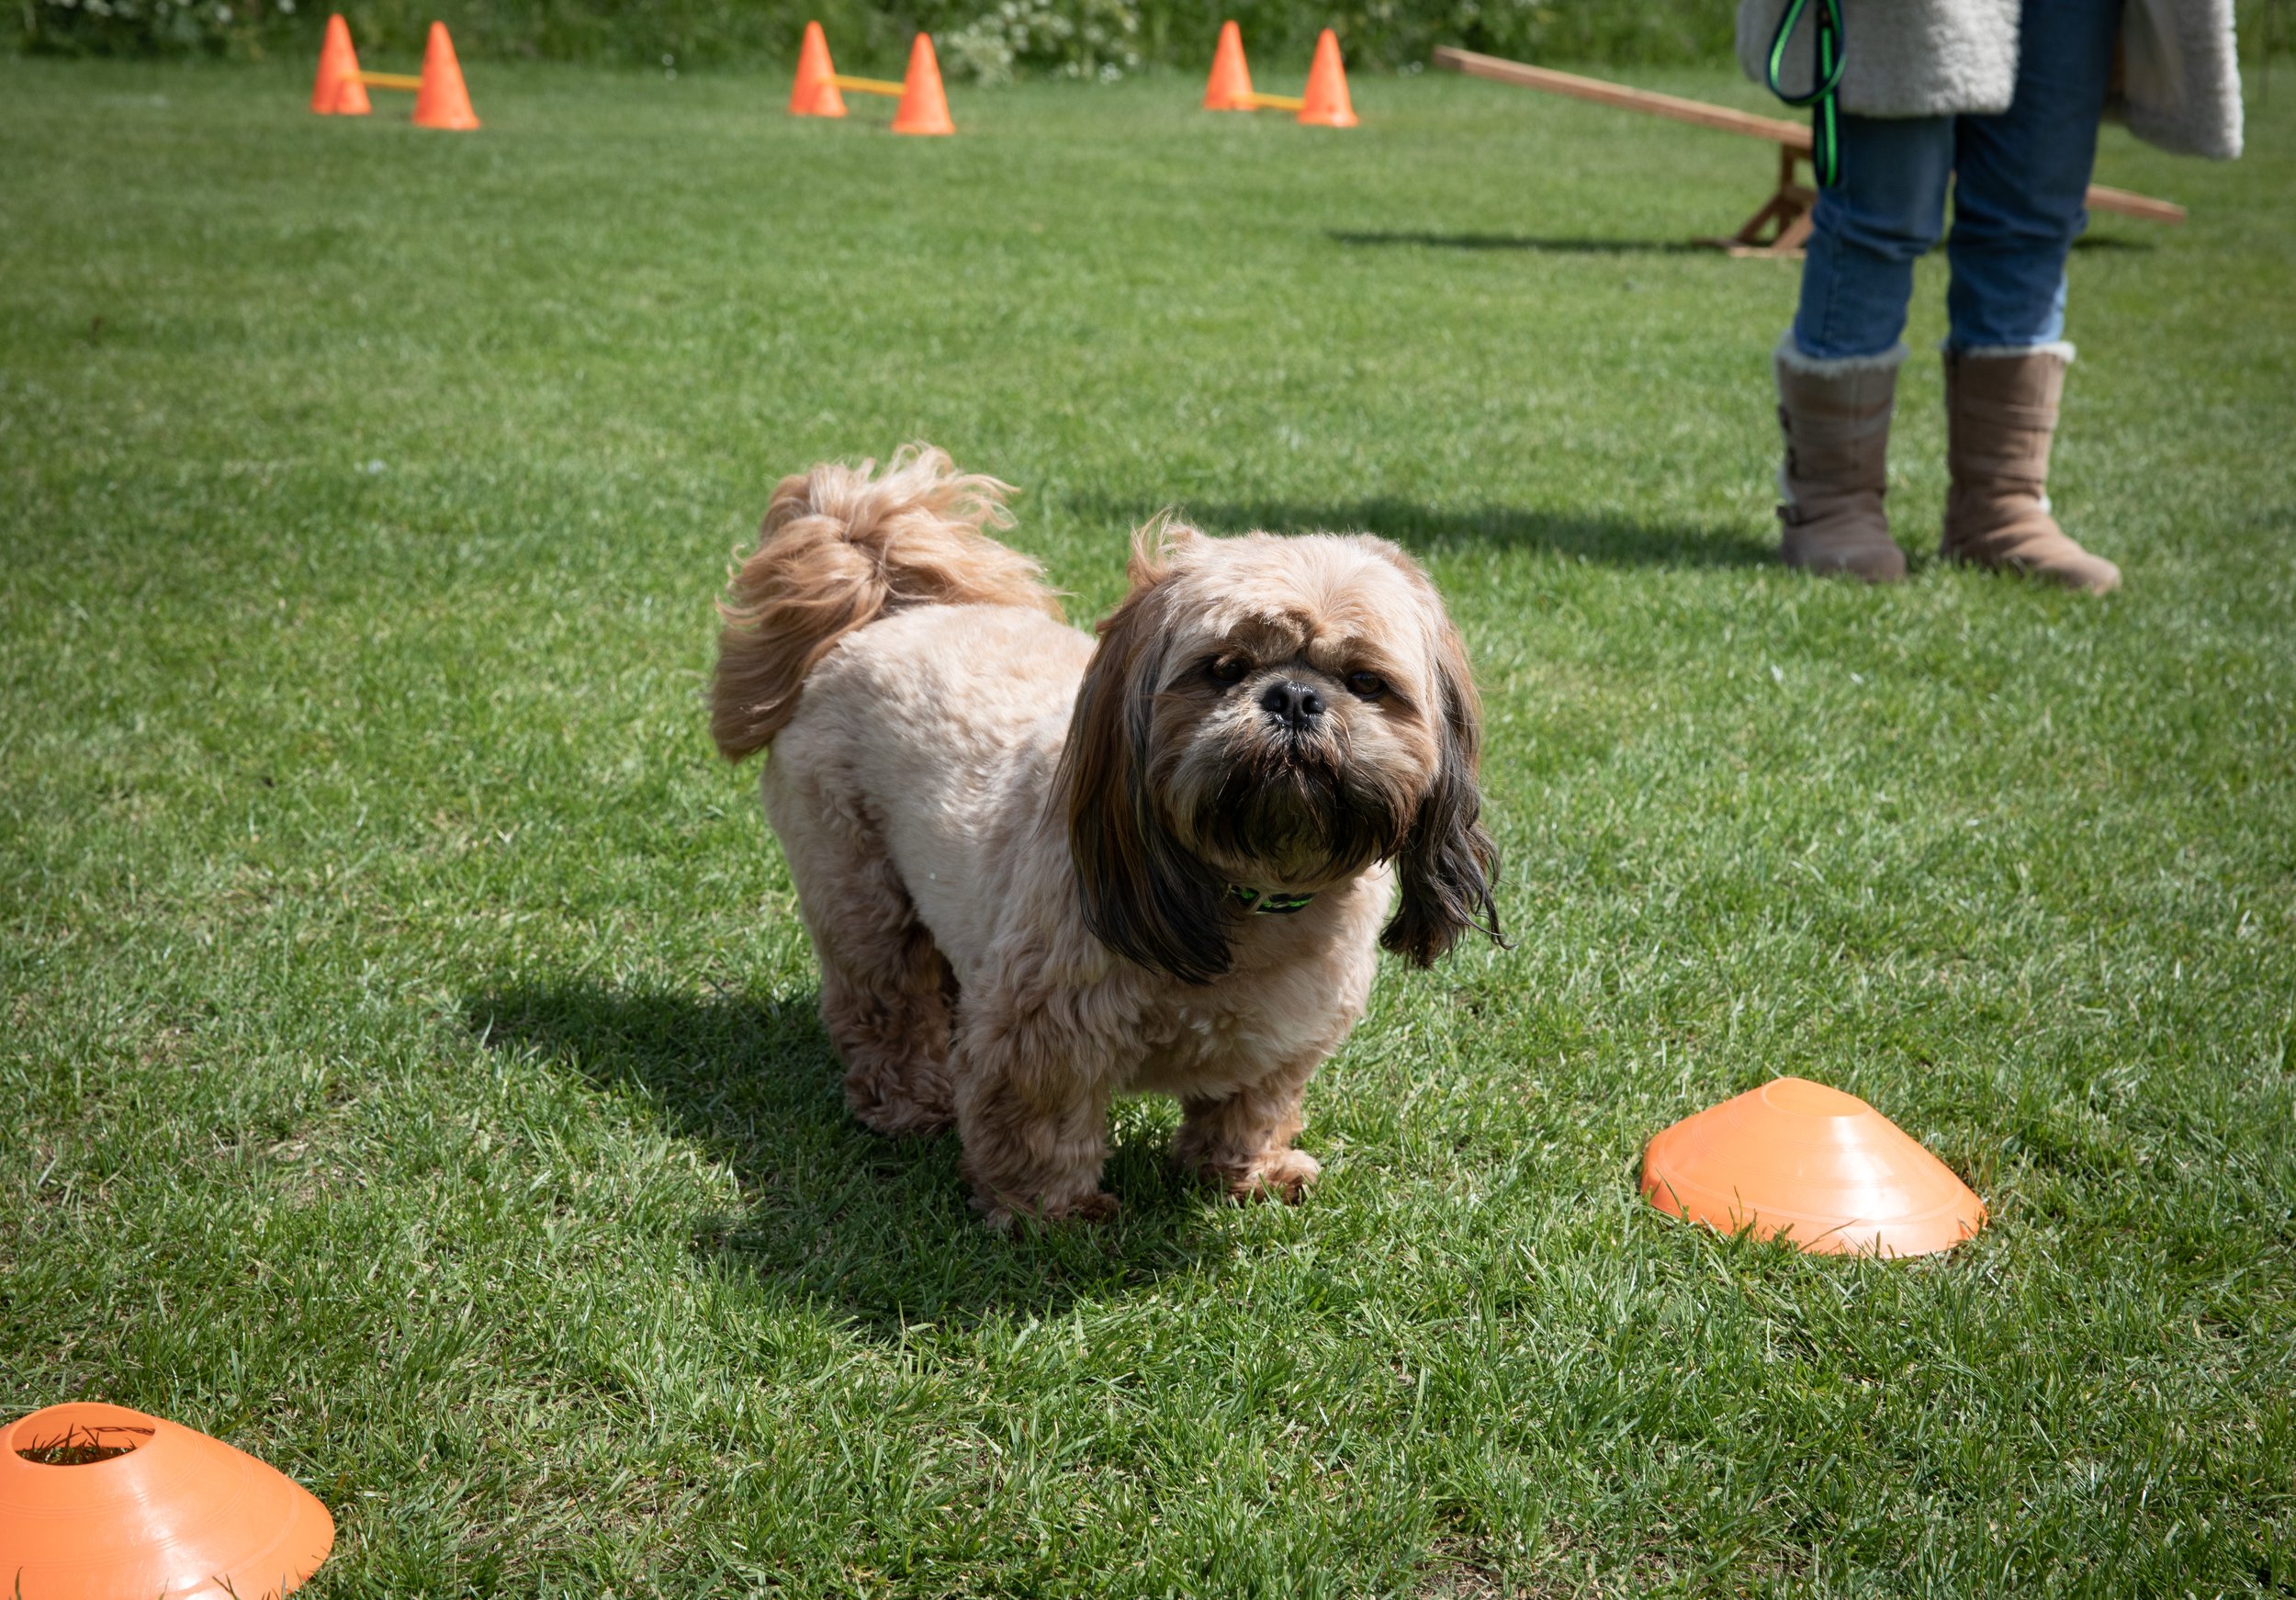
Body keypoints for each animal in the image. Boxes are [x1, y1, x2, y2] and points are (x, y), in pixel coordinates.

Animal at [716, 443, 1506, 1221]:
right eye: (1225, 669)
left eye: (1367, 681)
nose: (1295, 697)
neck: (1248, 890)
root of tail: (884, 614)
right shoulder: (1043, 1029)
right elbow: (1040, 1123)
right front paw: (1053, 1215)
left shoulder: (1285, 1039)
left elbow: (1251, 1104)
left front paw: (1247, 1173)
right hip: (858, 886)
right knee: (884, 1000)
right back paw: (909, 1100)